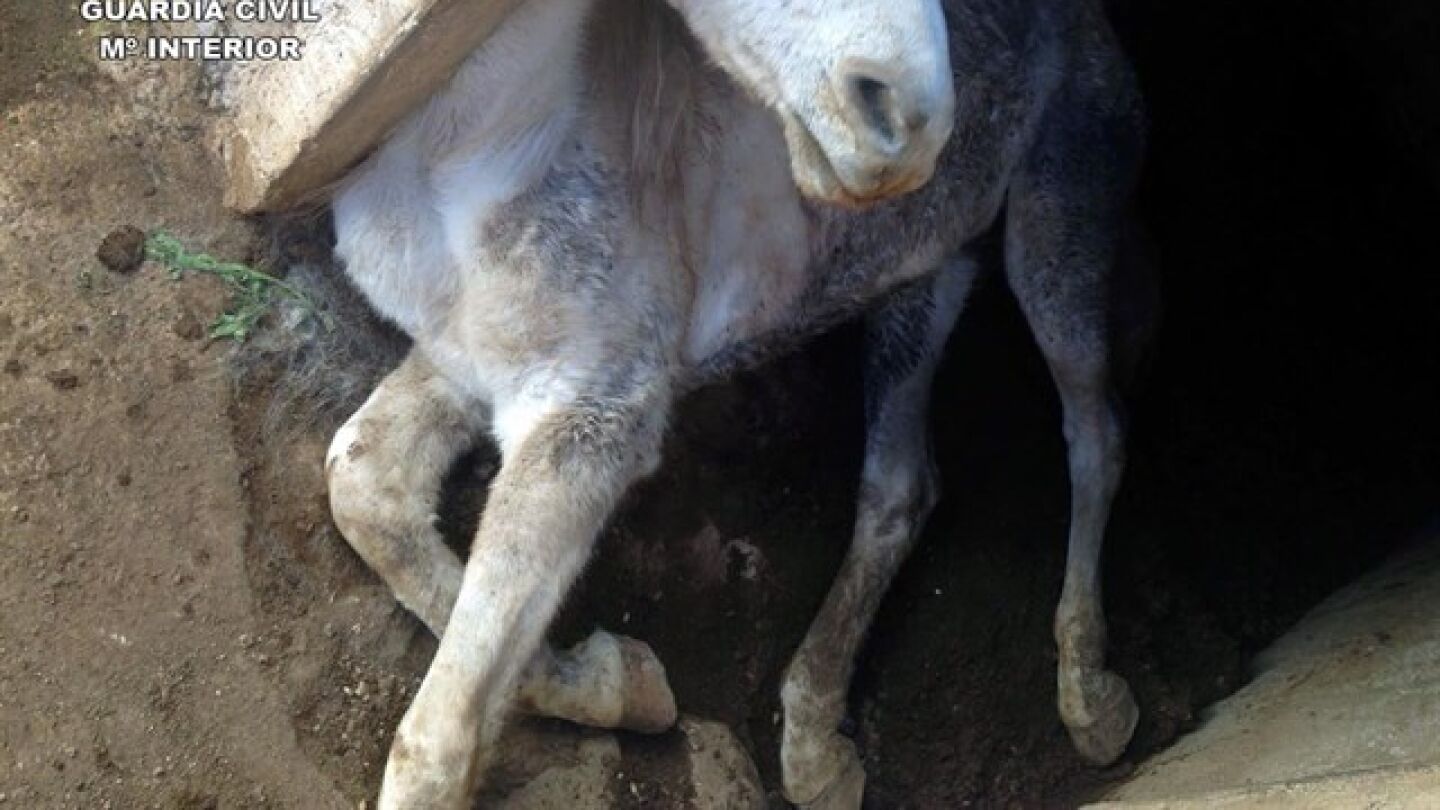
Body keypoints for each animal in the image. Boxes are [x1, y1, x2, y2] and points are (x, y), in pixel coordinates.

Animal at [324, 0, 1154, 805]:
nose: (908, 118)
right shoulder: (466, 363)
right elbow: (361, 485)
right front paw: (627, 682)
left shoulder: (596, 412)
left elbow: (439, 734)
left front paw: (616, 687)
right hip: (924, 275)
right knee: (901, 488)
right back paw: (817, 750)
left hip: (1057, 221)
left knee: (1096, 432)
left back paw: (1090, 698)